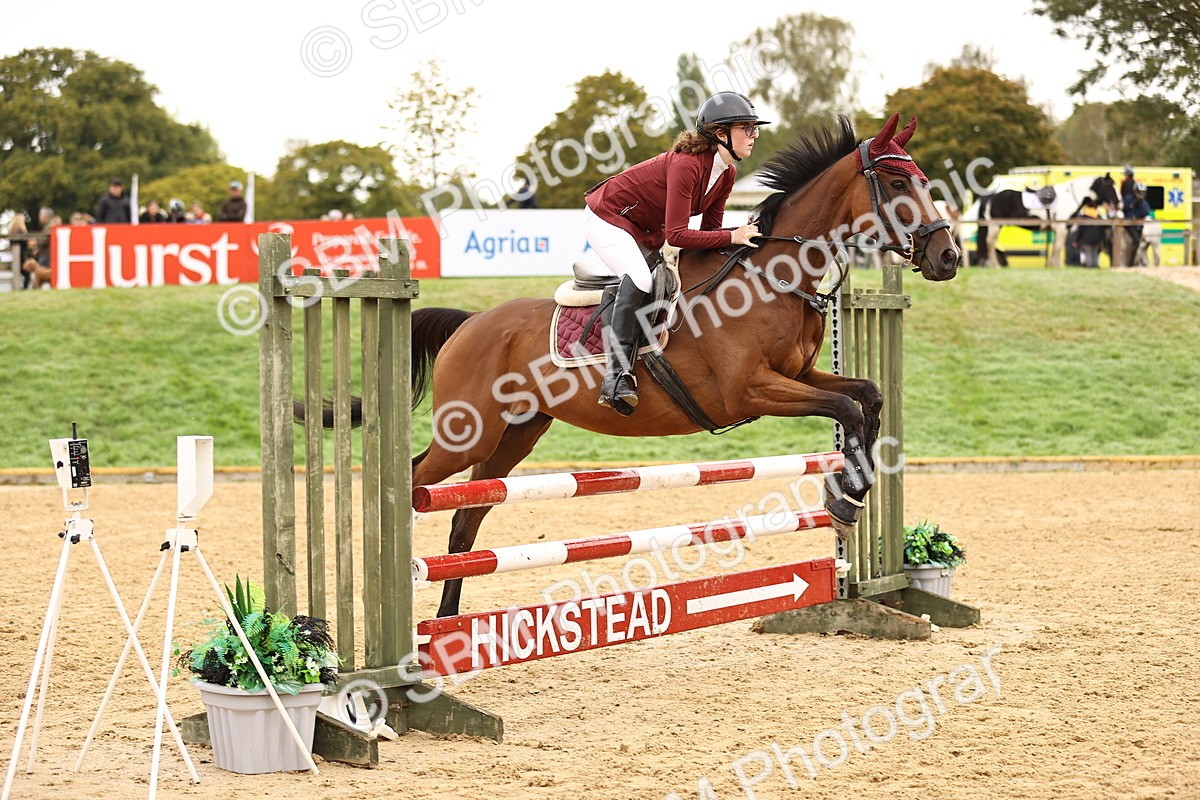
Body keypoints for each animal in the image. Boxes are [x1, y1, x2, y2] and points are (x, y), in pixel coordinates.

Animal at [369, 113, 960, 618]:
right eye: (898, 183)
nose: (948, 257)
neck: (773, 276)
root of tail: (471, 324)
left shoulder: (798, 376)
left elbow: (867, 396)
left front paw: (848, 493)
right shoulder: (750, 391)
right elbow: (846, 407)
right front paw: (845, 496)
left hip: (514, 435)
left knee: (465, 516)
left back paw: (447, 622)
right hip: (468, 435)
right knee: (416, 482)